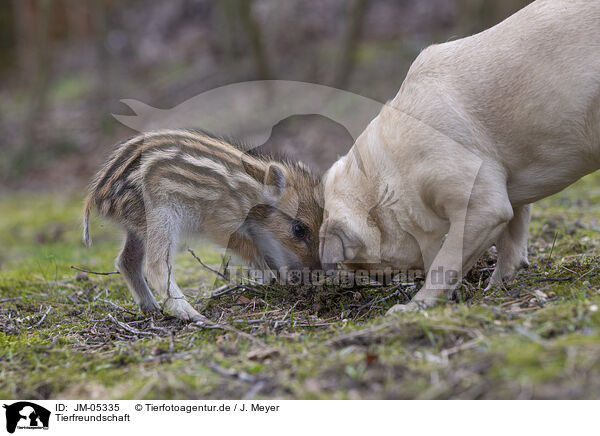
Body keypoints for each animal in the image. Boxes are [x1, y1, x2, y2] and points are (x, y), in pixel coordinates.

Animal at [322, 0, 600, 314]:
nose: (380, 280)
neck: (388, 174)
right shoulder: (509, 197)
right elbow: (511, 241)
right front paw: (498, 288)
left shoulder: (481, 209)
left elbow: (446, 262)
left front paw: (418, 305)